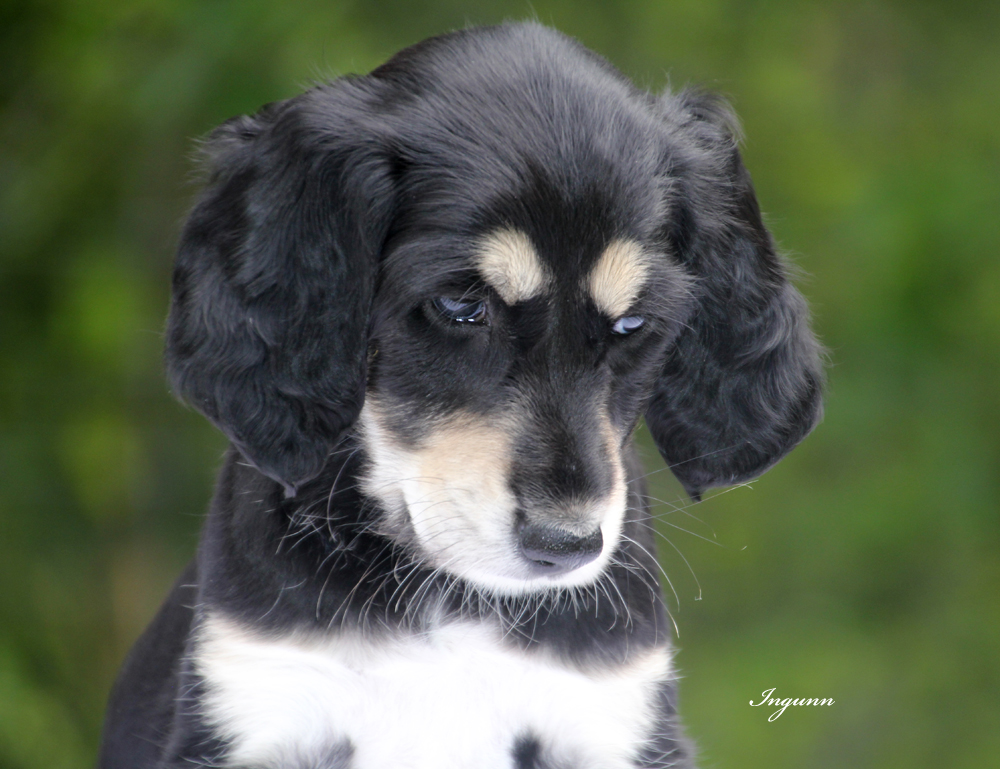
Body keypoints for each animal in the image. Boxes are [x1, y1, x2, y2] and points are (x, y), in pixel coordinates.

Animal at [97, 22, 824, 768]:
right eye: (459, 305)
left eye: (632, 325)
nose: (565, 543)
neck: (451, 612)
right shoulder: (260, 699)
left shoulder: (603, 718)